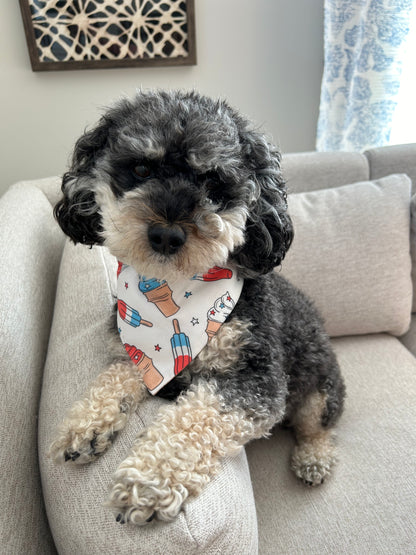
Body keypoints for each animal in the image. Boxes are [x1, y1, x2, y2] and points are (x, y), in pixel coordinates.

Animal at [50, 90, 346, 524]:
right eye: (140, 168)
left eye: (214, 182)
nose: (166, 234)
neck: (176, 293)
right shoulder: (137, 356)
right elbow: (115, 378)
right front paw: (84, 424)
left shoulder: (256, 381)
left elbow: (195, 420)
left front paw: (149, 480)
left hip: (320, 388)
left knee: (318, 426)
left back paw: (314, 458)